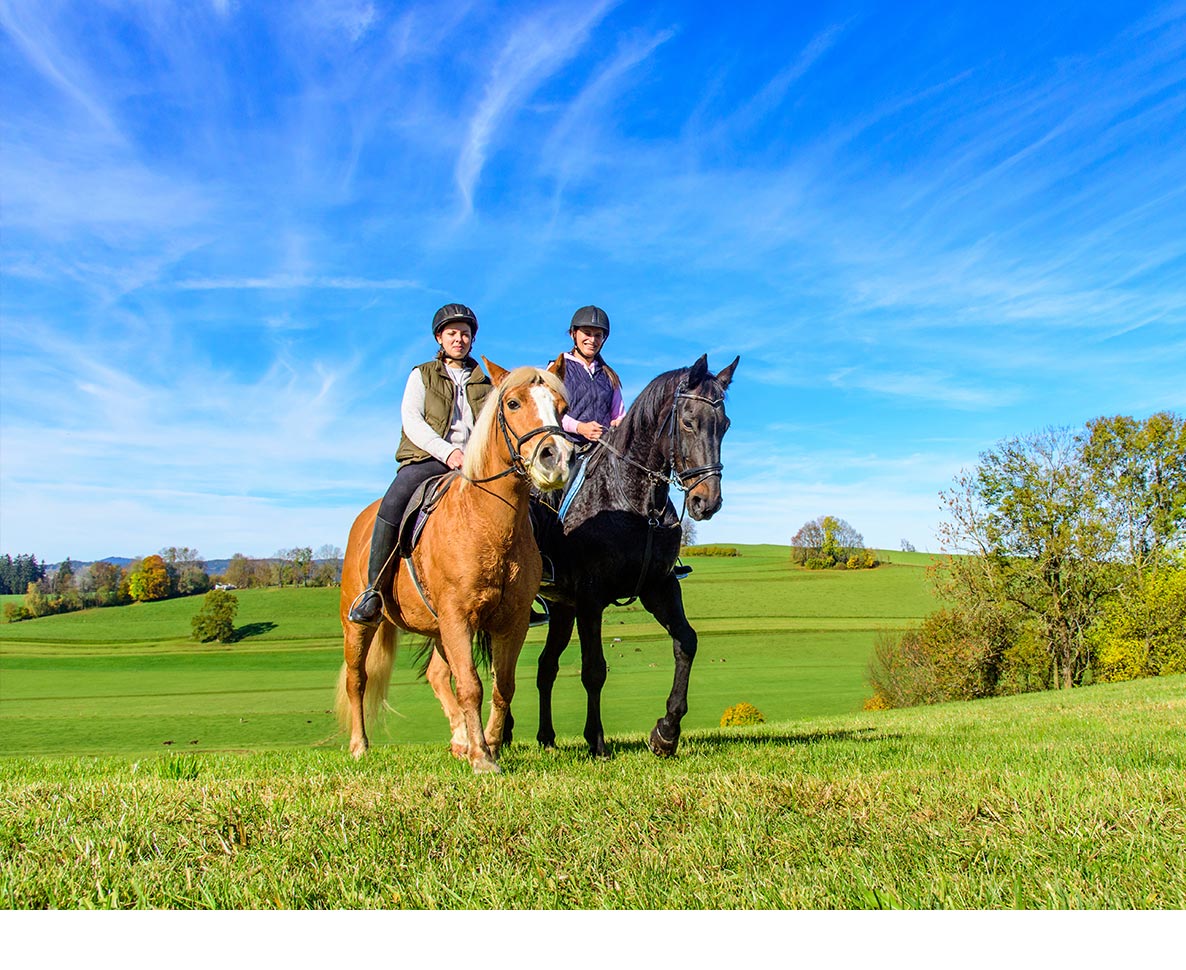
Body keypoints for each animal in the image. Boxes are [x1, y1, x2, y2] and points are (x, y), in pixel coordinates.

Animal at [336, 360, 571, 773]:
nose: (556, 458)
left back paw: (460, 739)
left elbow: (503, 686)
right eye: (512, 403)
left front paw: (488, 744)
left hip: (438, 629)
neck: (485, 521)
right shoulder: (458, 617)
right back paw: (360, 746)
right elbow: (471, 686)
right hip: (359, 625)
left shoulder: (510, 621)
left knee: (436, 675)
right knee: (357, 680)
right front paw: (482, 759)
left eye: (561, 406)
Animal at [526, 353, 735, 754]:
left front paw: (666, 732)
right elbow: (594, 669)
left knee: (546, 666)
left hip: (561, 608)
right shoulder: (591, 599)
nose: (707, 502)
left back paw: (545, 737)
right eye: (688, 421)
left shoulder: (659, 587)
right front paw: (597, 741)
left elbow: (687, 642)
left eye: (725, 425)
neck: (634, 501)